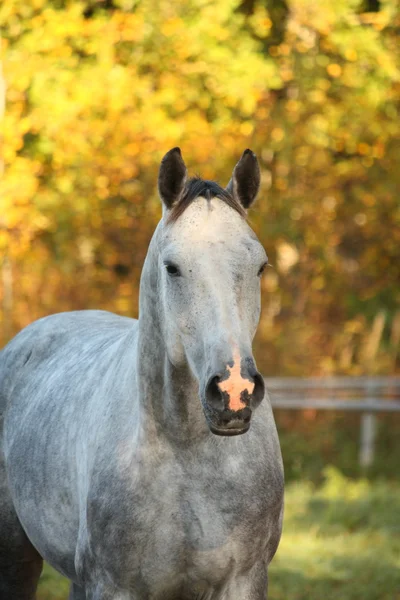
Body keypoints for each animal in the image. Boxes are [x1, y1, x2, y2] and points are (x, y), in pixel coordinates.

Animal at [0, 146, 282, 600]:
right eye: (172, 267)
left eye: (260, 266)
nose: (234, 390)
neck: (185, 453)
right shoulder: (113, 585)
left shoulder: (244, 579)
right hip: (15, 557)